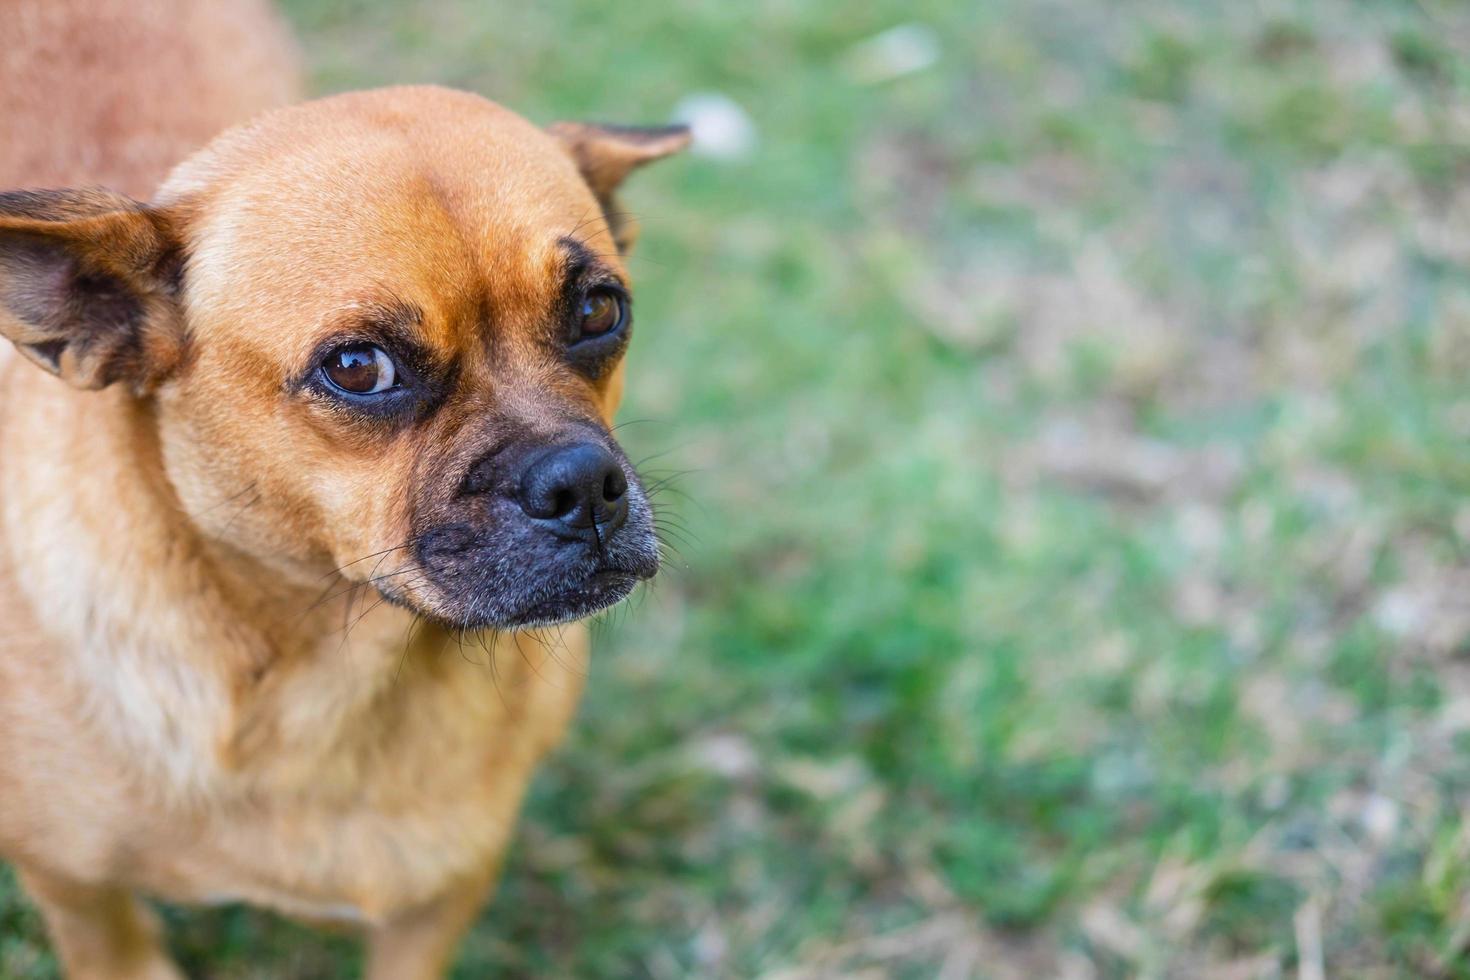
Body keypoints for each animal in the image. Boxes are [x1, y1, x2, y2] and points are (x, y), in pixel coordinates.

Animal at [0, 1, 685, 980]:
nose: (584, 484)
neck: (338, 683)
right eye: (359, 368)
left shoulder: (439, 899)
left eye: (600, 311)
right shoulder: (83, 899)